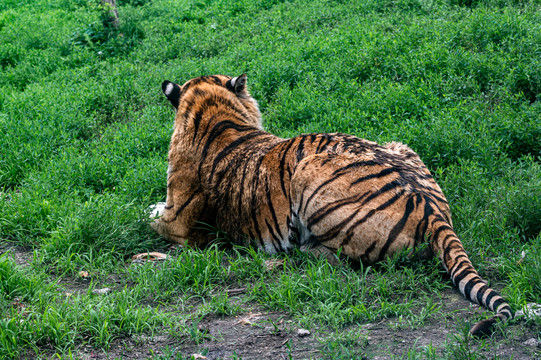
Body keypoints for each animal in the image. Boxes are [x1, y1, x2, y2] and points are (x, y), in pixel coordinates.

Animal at [150, 74, 512, 338]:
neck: (218, 114)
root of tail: (434, 213)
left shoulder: (176, 220)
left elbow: (148, 215)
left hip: (307, 173)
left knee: (339, 260)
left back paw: (299, 251)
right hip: (398, 144)